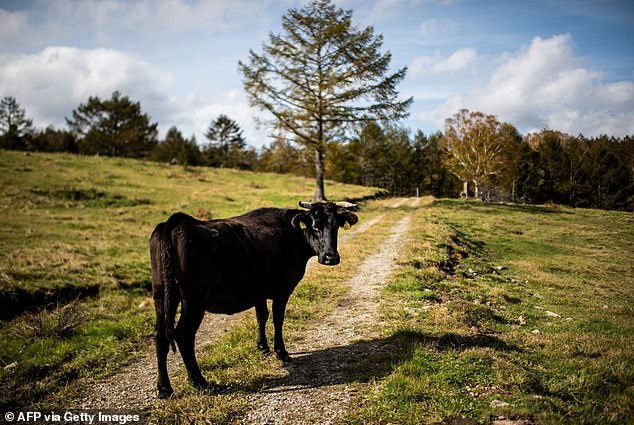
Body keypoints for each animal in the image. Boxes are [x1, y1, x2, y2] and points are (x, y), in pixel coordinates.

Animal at [148, 200, 356, 396]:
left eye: (336, 226)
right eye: (315, 226)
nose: (330, 257)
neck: (291, 235)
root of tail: (178, 222)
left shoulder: (258, 290)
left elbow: (261, 316)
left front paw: (262, 347)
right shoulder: (282, 289)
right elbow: (277, 319)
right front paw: (281, 352)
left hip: (161, 295)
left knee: (160, 335)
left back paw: (164, 388)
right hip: (194, 300)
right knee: (184, 335)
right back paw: (198, 381)